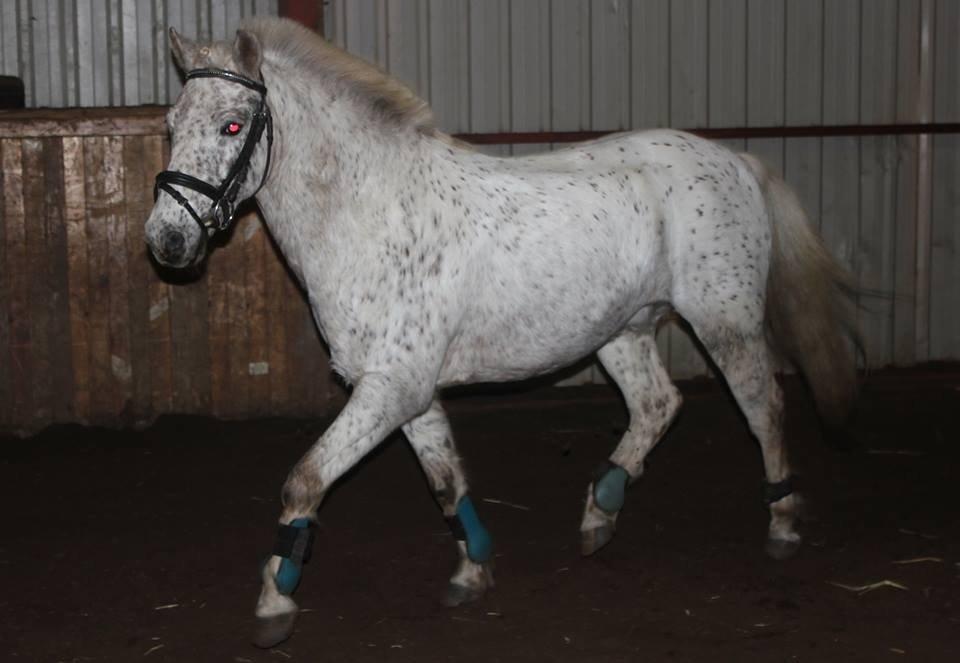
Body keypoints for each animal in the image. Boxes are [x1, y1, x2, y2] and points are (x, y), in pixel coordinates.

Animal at [145, 18, 859, 648]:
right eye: (173, 125)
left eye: (232, 125)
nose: (167, 242)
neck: (370, 211)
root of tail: (735, 160)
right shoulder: (406, 391)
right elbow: (444, 481)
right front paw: (472, 570)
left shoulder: (390, 388)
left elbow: (305, 480)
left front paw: (274, 601)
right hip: (621, 331)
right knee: (659, 404)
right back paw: (600, 511)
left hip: (724, 320)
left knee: (763, 405)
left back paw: (782, 523)